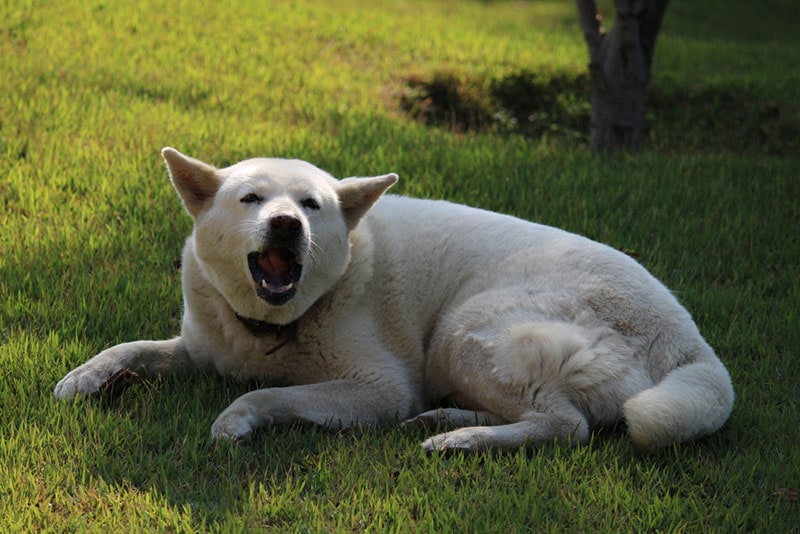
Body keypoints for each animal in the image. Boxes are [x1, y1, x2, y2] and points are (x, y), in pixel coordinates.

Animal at [53, 149, 736, 454]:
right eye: (251, 199)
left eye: (311, 206)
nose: (286, 226)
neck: (276, 326)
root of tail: (691, 345)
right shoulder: (201, 349)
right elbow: (134, 348)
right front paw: (84, 378)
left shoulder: (379, 387)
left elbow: (266, 394)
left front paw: (235, 421)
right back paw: (446, 420)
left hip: (466, 329)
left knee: (567, 426)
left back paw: (459, 442)